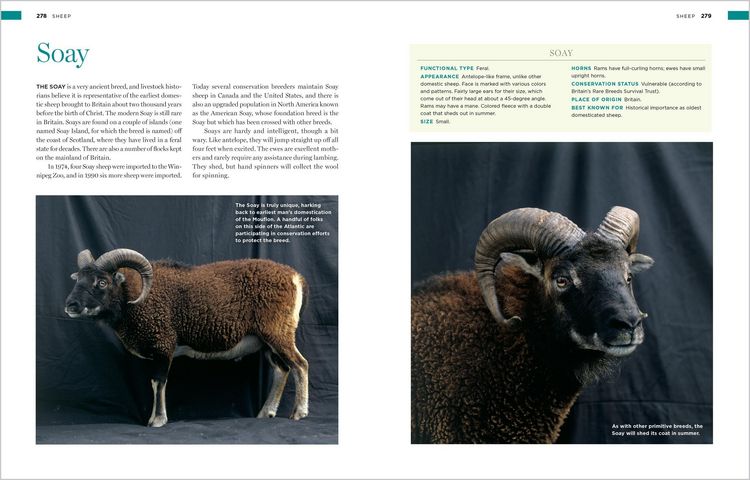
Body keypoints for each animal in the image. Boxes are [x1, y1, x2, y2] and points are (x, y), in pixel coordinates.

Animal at [64, 248, 309, 427]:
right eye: (78, 279)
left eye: (102, 282)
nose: (71, 306)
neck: (135, 297)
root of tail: (295, 277)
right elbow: (154, 383)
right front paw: (155, 419)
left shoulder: (163, 347)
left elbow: (159, 382)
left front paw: (157, 421)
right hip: (268, 342)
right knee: (282, 370)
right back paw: (266, 413)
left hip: (279, 333)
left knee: (300, 365)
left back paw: (299, 413)